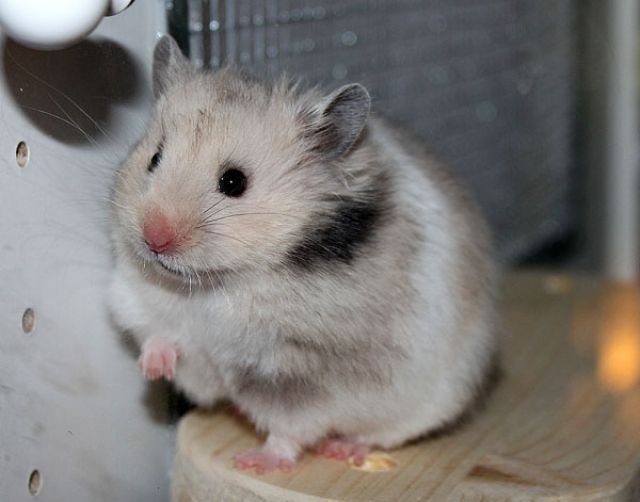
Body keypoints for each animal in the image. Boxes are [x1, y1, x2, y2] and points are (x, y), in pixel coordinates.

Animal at [108, 36, 499, 474]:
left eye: (234, 182)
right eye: (154, 158)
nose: (153, 239)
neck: (220, 283)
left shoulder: (298, 372)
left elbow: (289, 427)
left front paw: (256, 463)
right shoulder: (143, 303)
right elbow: (160, 335)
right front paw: (152, 368)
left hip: (428, 400)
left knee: (382, 432)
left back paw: (343, 449)